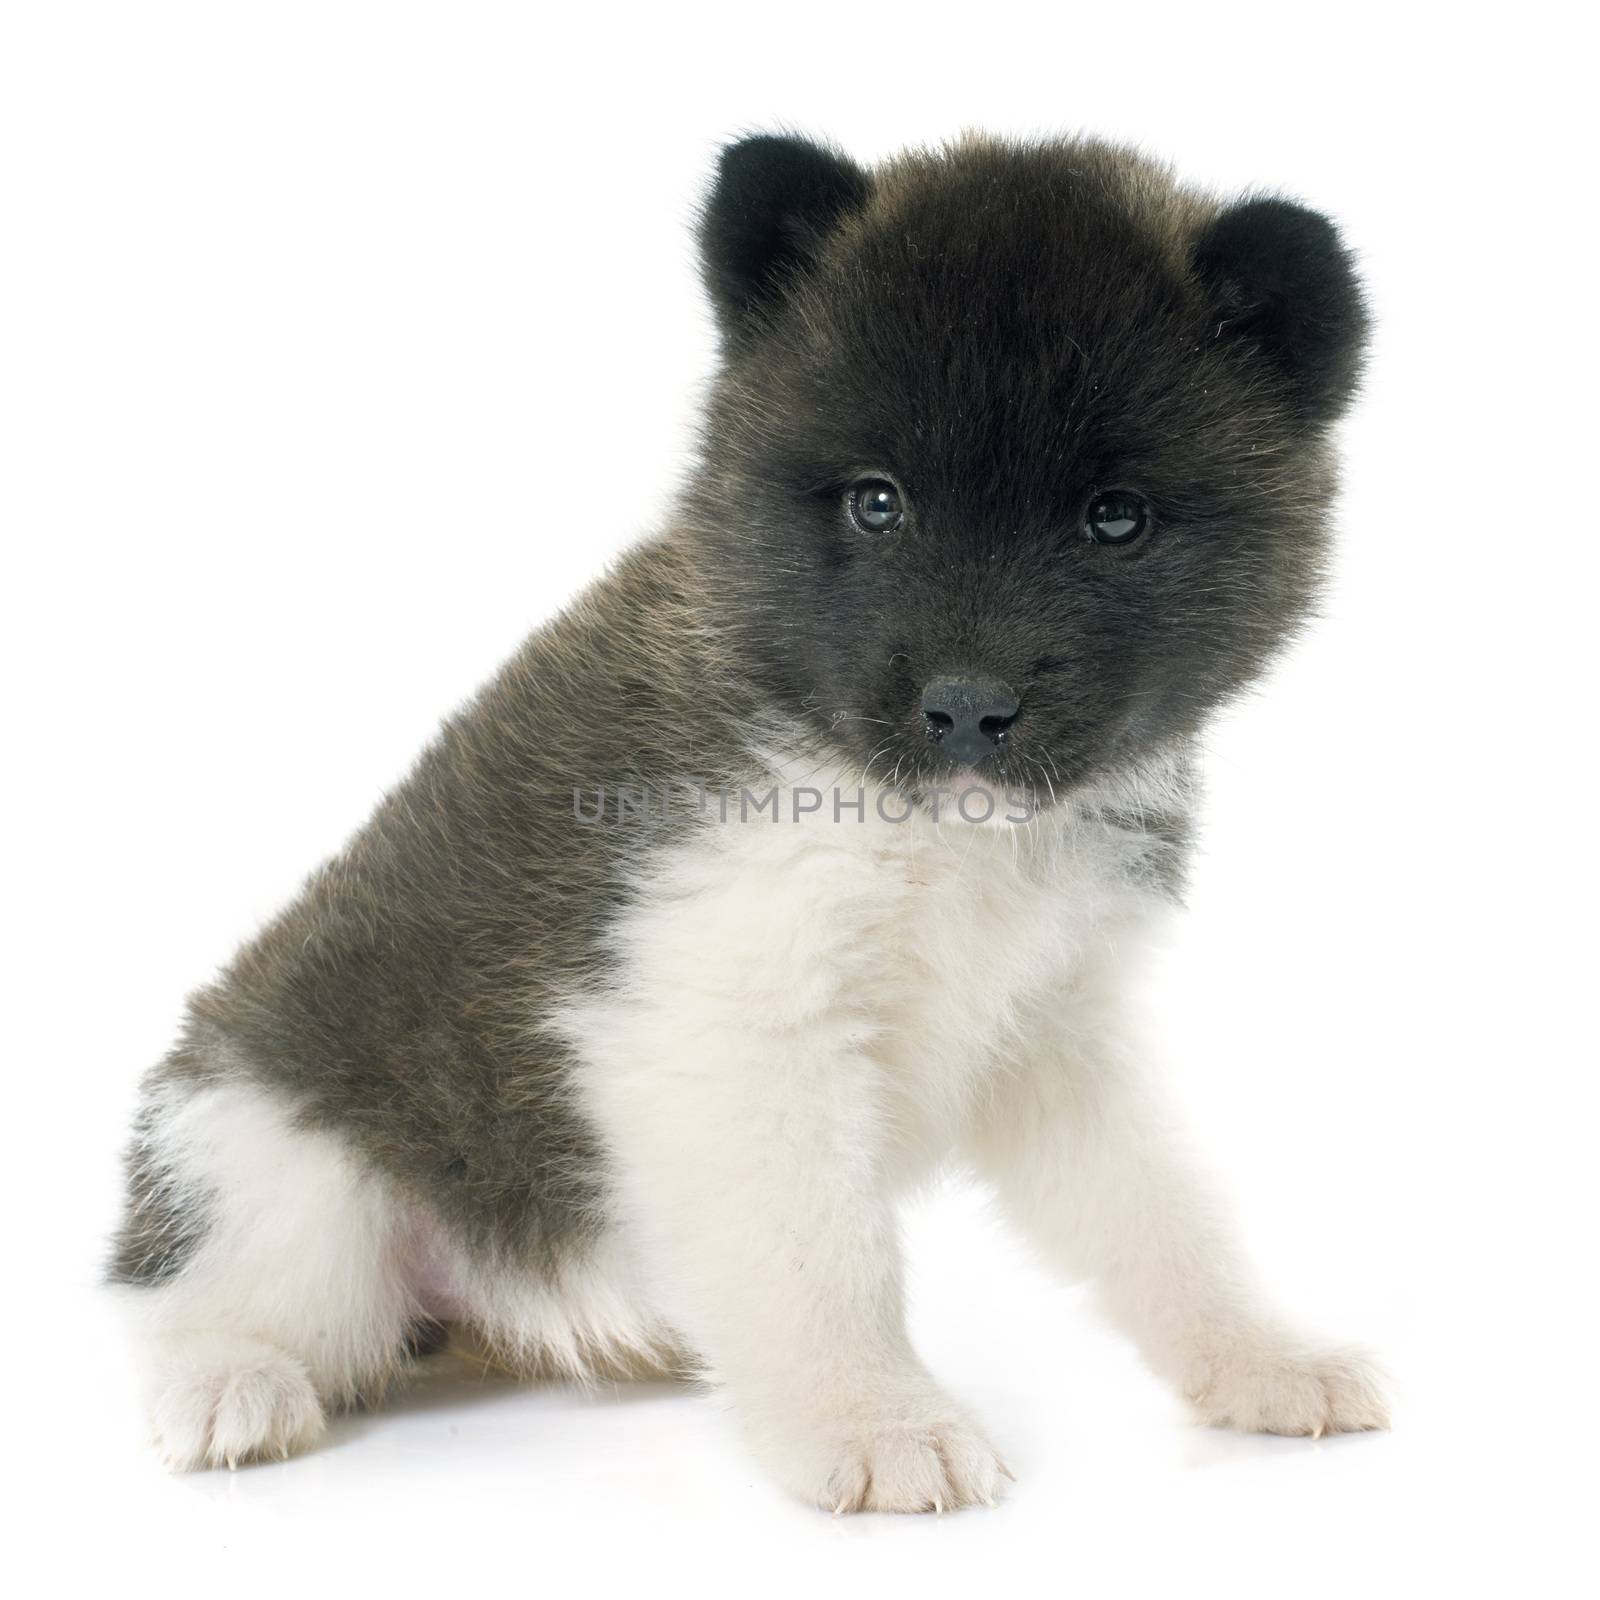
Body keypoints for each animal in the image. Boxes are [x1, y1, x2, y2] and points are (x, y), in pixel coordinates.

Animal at [109, 131, 1388, 1504]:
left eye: (1115, 517)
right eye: (876, 502)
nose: (968, 708)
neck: (925, 824)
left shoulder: (1053, 1034)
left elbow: (1165, 1213)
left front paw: (1259, 1351)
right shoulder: (725, 1021)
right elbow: (823, 1257)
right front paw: (870, 1416)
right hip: (274, 1163)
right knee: (203, 1290)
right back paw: (226, 1379)